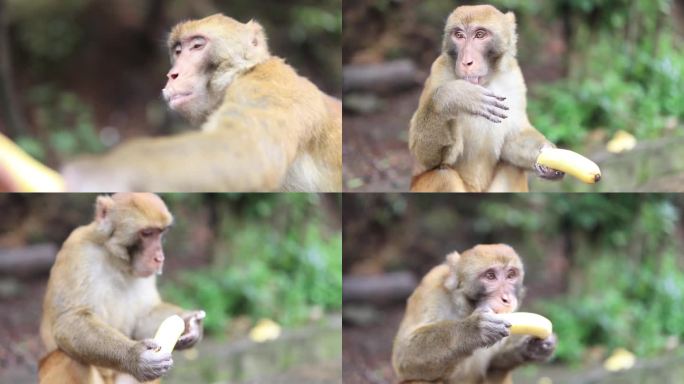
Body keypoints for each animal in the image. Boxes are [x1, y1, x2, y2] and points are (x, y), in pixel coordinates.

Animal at [38, 192, 204, 384]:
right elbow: (70, 320)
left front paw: (190, 324)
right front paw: (136, 357)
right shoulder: (77, 249)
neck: (117, 261)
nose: (159, 257)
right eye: (147, 233)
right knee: (70, 359)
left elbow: (144, 316)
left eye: (160, 233)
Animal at [40, 13, 342, 194]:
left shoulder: (268, 87)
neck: (241, 74)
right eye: (177, 51)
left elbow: (249, 154)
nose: (172, 74)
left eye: (197, 46)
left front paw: (105, 171)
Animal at [392, 244, 560, 382]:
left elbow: (495, 364)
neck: (467, 308)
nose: (506, 299)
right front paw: (473, 329)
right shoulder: (431, 286)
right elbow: (403, 355)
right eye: (490, 276)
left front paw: (534, 347)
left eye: (511, 275)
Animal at [408, 4, 564, 192]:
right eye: (459, 35)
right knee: (443, 175)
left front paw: (547, 155)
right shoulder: (438, 72)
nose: (466, 62)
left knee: (512, 168)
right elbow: (425, 160)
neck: (485, 82)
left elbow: (512, 139)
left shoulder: (514, 76)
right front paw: (454, 97)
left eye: (480, 35)